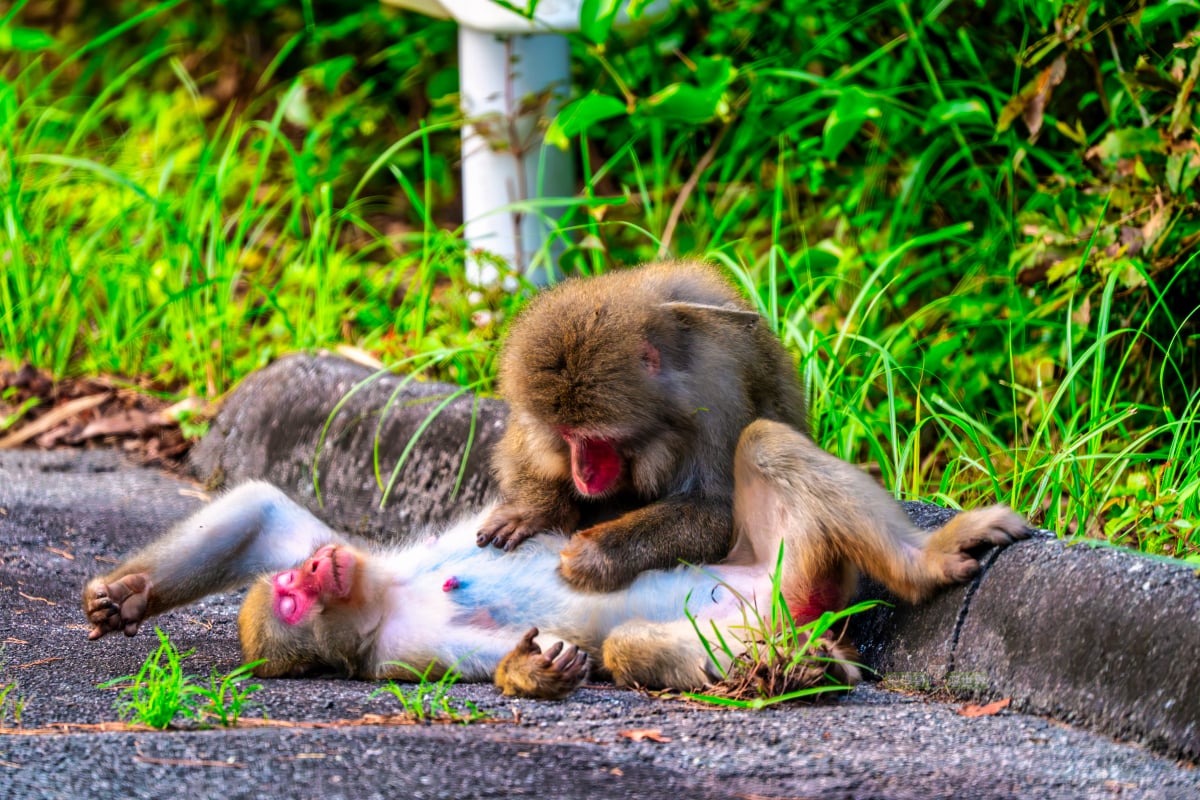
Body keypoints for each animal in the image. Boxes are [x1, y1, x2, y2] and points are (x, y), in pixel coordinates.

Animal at [84, 419, 1027, 700]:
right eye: (289, 603)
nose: (312, 576)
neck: (384, 597)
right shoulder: (397, 653)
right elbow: (518, 659)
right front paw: (535, 669)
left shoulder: (366, 556)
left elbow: (264, 507)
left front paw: (125, 594)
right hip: (787, 599)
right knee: (636, 647)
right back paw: (793, 669)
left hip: (786, 565)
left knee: (759, 440)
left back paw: (926, 560)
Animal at [475, 260, 806, 592]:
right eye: (565, 435)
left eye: (595, 439)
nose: (582, 475)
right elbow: (521, 452)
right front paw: (534, 511)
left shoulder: (720, 401)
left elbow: (721, 511)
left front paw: (600, 552)